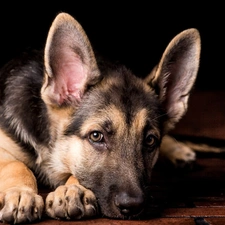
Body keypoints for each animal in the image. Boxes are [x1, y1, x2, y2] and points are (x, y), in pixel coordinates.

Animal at [0, 11, 201, 222]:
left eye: (150, 140)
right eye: (96, 136)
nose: (132, 206)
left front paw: (73, 189)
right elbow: (16, 165)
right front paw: (21, 193)